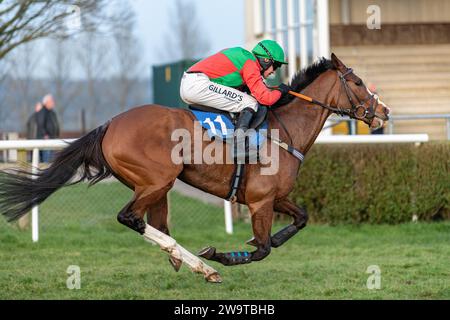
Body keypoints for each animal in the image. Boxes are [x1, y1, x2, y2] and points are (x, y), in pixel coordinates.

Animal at [0, 54, 386, 282]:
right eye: (357, 83)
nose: (382, 112)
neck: (283, 131)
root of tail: (109, 124)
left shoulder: (275, 196)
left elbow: (300, 219)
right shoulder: (260, 201)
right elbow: (262, 249)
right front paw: (224, 255)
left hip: (154, 187)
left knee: (154, 223)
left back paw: (181, 260)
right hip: (157, 180)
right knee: (131, 218)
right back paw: (203, 265)